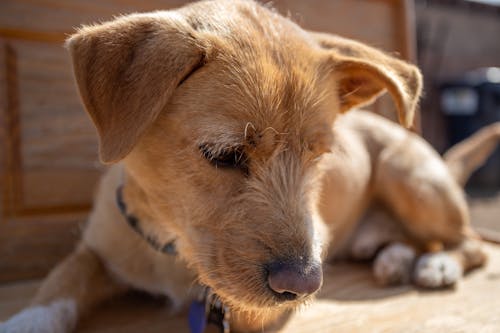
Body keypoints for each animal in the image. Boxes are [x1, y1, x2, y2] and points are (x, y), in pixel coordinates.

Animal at [1, 0, 498, 332]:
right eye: (223, 155)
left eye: (320, 157)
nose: (306, 285)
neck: (170, 244)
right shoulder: (95, 248)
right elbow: (63, 278)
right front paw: (28, 320)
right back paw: (394, 256)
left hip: (410, 178)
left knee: (470, 242)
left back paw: (437, 264)